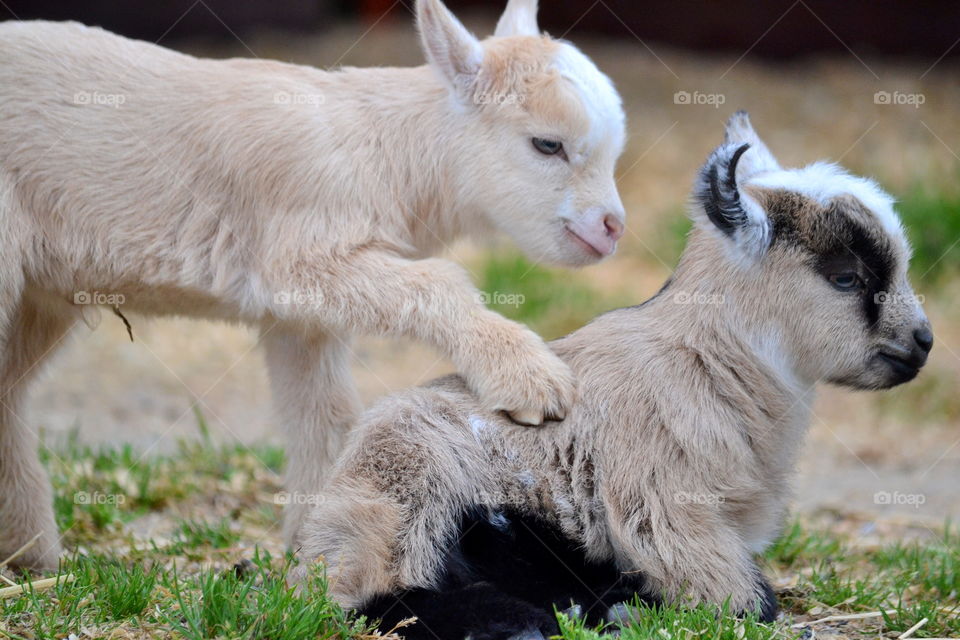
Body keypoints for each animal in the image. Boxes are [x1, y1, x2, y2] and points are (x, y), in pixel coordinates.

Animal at [0, 0, 632, 568]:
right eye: (547, 144)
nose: (612, 228)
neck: (389, 153)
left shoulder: (302, 314)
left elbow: (324, 416)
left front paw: (321, 547)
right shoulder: (302, 259)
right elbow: (438, 282)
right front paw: (529, 378)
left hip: (40, 294)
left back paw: (29, 556)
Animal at [296, 112, 932, 636]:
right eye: (846, 277)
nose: (922, 343)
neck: (708, 359)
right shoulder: (669, 510)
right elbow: (749, 601)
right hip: (406, 487)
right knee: (375, 594)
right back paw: (528, 621)